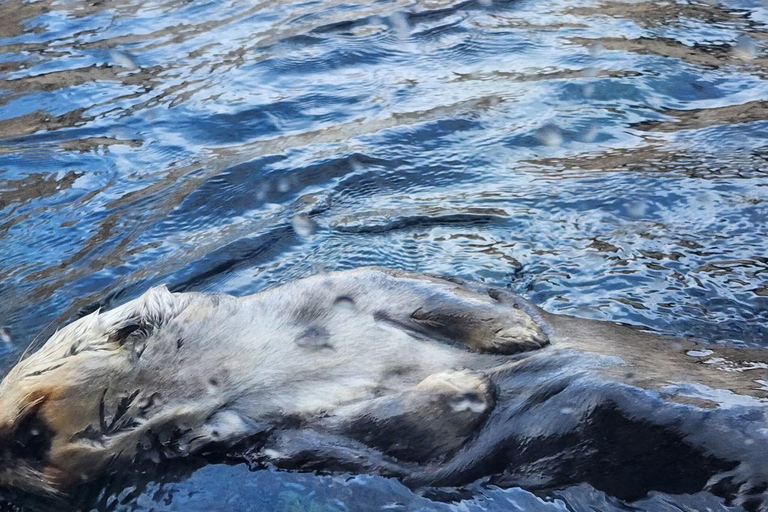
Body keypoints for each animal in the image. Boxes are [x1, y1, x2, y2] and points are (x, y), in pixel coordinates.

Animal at [0, 270, 764, 510]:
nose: (21, 437)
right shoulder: (274, 431)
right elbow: (378, 435)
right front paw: (461, 390)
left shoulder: (353, 289)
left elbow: (437, 297)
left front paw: (519, 333)